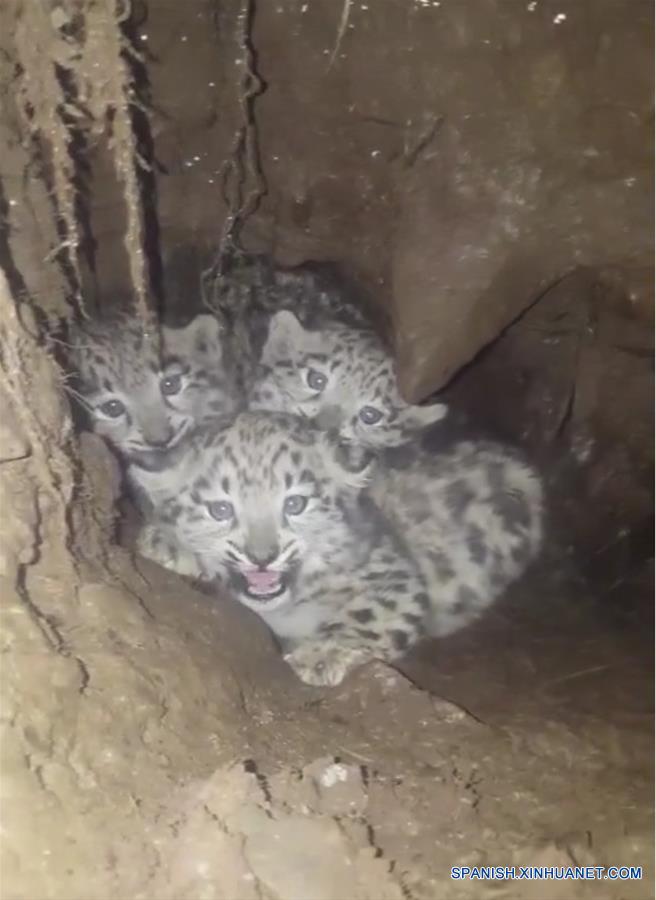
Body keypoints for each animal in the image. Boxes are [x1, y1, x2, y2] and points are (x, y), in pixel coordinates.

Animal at [133, 411, 544, 686]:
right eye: (220, 509)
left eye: (295, 503)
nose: (263, 557)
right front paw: (165, 543)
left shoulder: (393, 573)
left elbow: (372, 614)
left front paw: (319, 656)